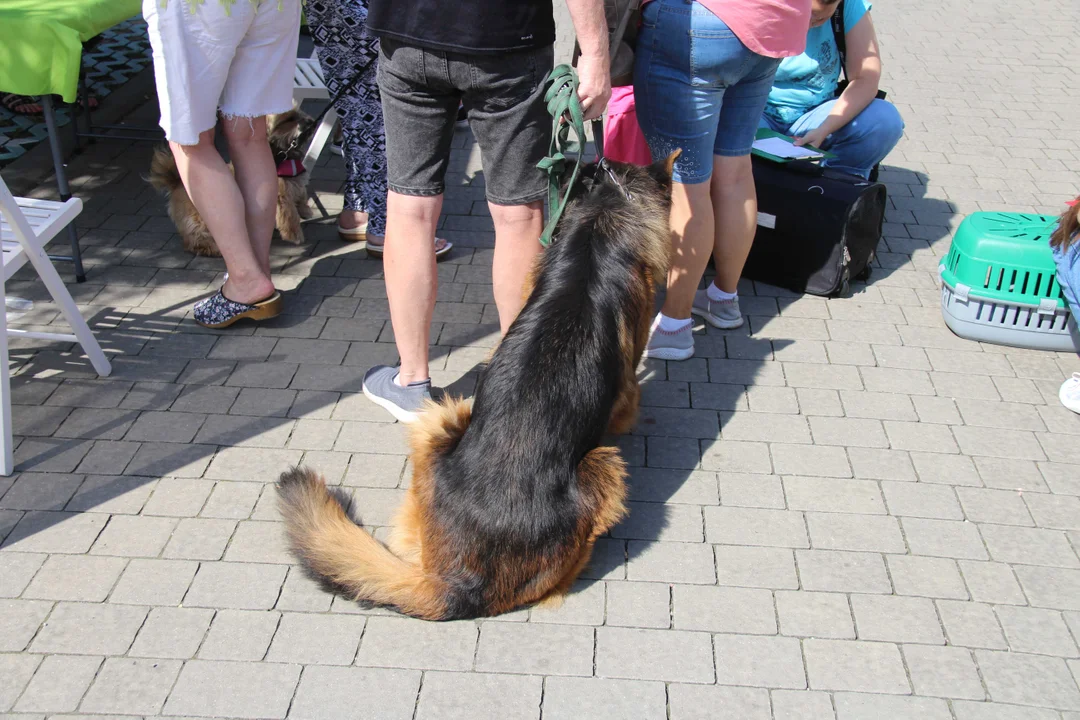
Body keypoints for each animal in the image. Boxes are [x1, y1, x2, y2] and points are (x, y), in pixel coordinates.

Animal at [145, 110, 313, 259]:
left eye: (298, 111)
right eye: (289, 119)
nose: (311, 121)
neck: (281, 154)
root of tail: (177, 183)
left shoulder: (296, 183)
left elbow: (302, 194)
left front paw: (305, 210)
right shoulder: (282, 196)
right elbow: (290, 217)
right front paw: (295, 235)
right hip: (200, 219)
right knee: (194, 240)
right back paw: (211, 249)